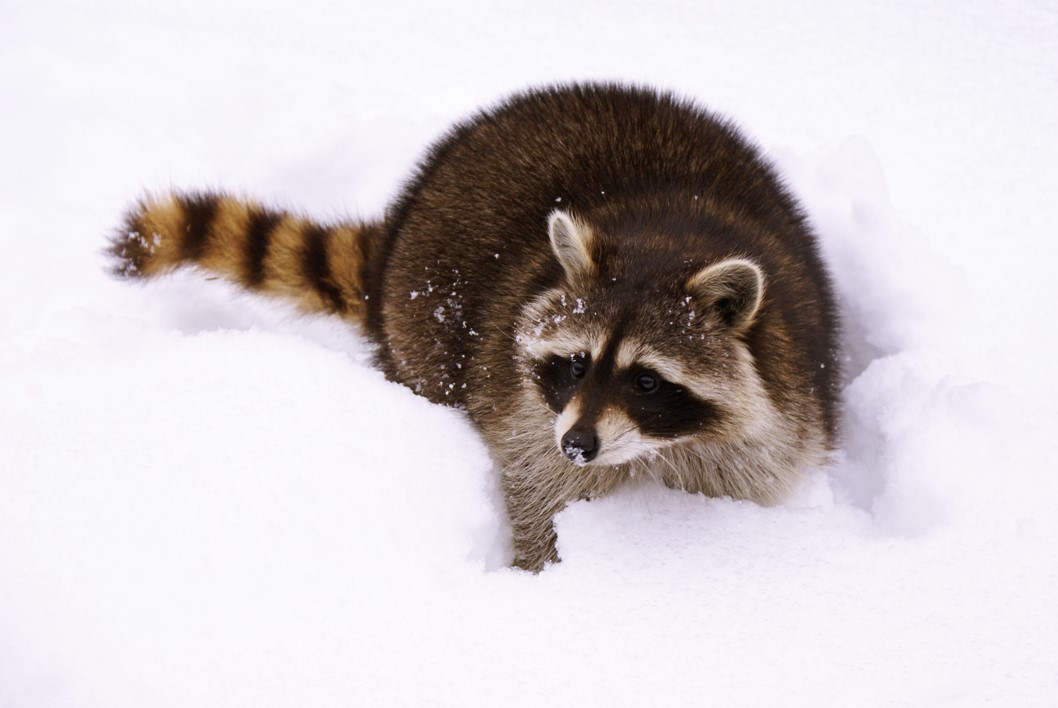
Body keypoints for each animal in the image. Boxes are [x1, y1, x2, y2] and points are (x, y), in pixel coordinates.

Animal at [109, 84, 840, 571]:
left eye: (647, 381)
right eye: (576, 363)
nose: (578, 444)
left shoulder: (779, 411)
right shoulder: (527, 416)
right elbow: (538, 496)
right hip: (421, 321)